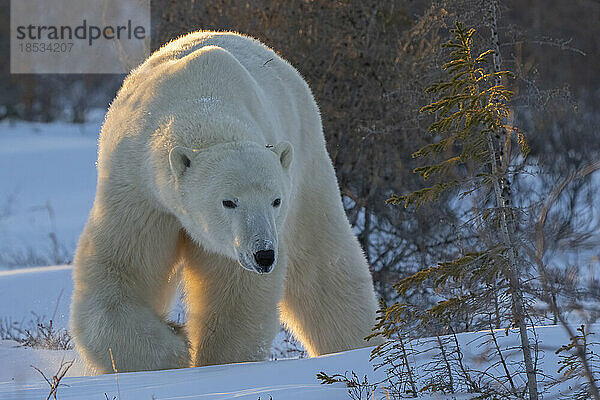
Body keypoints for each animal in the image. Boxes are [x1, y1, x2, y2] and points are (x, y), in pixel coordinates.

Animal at [70, 30, 380, 372]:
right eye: (229, 202)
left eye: (275, 200)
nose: (264, 255)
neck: (202, 105)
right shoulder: (139, 191)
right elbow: (120, 269)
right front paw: (174, 348)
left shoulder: (236, 242)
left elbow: (236, 293)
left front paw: (216, 363)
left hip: (307, 162)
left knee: (323, 264)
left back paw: (359, 345)